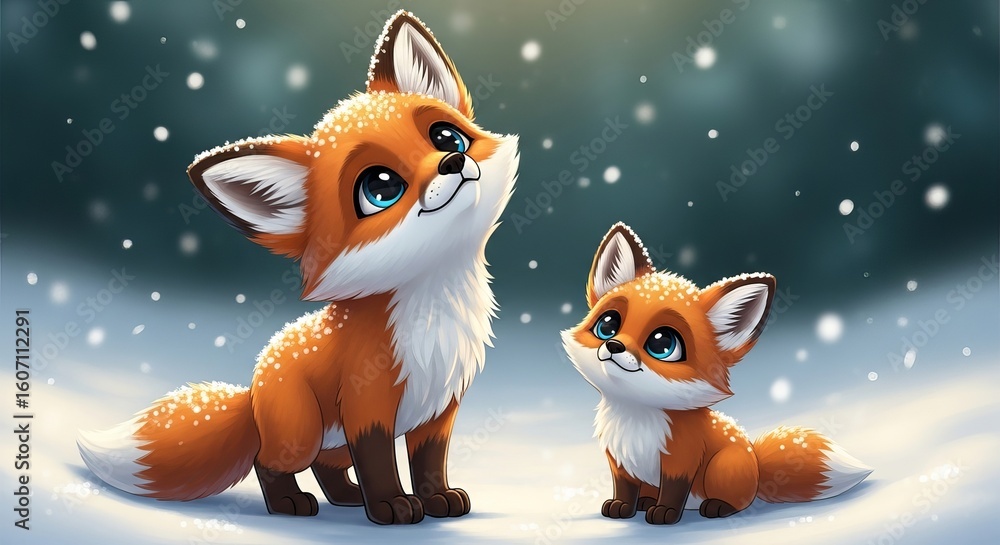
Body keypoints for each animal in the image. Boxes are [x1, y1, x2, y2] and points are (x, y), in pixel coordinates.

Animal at [77, 11, 519, 525]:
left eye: (447, 136)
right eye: (380, 188)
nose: (453, 160)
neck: (433, 304)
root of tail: (252, 389)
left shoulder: (438, 410)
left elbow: (428, 462)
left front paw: (437, 500)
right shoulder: (368, 405)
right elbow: (379, 463)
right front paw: (390, 505)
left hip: (329, 441)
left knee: (328, 467)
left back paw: (345, 497)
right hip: (302, 433)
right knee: (267, 462)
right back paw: (291, 503)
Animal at [562, 223, 872, 525]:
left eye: (662, 344)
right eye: (607, 325)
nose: (614, 345)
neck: (636, 417)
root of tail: (757, 464)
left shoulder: (680, 460)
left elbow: (673, 491)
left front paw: (665, 514)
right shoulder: (620, 462)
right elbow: (624, 489)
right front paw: (622, 508)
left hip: (721, 467)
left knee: (740, 501)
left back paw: (717, 507)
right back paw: (646, 502)